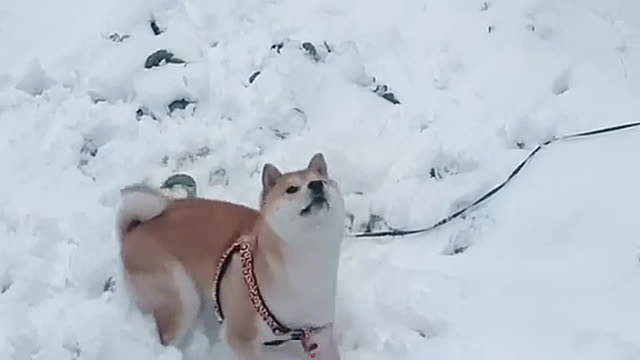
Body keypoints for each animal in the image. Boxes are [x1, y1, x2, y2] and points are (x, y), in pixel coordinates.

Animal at [115, 153, 344, 358]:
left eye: (322, 181)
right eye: (291, 189)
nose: (317, 185)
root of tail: (134, 229)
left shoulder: (319, 334)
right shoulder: (240, 336)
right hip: (183, 298)